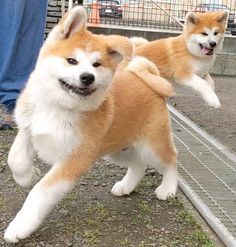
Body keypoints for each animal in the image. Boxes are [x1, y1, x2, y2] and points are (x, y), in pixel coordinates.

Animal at [4, 6, 177, 242]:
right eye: (71, 61)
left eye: (97, 65)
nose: (87, 77)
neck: (58, 106)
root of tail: (146, 79)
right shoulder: (29, 130)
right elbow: (16, 160)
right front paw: (29, 176)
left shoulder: (75, 158)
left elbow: (41, 192)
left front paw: (20, 225)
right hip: (116, 148)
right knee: (139, 164)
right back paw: (126, 186)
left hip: (152, 146)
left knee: (171, 160)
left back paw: (168, 188)